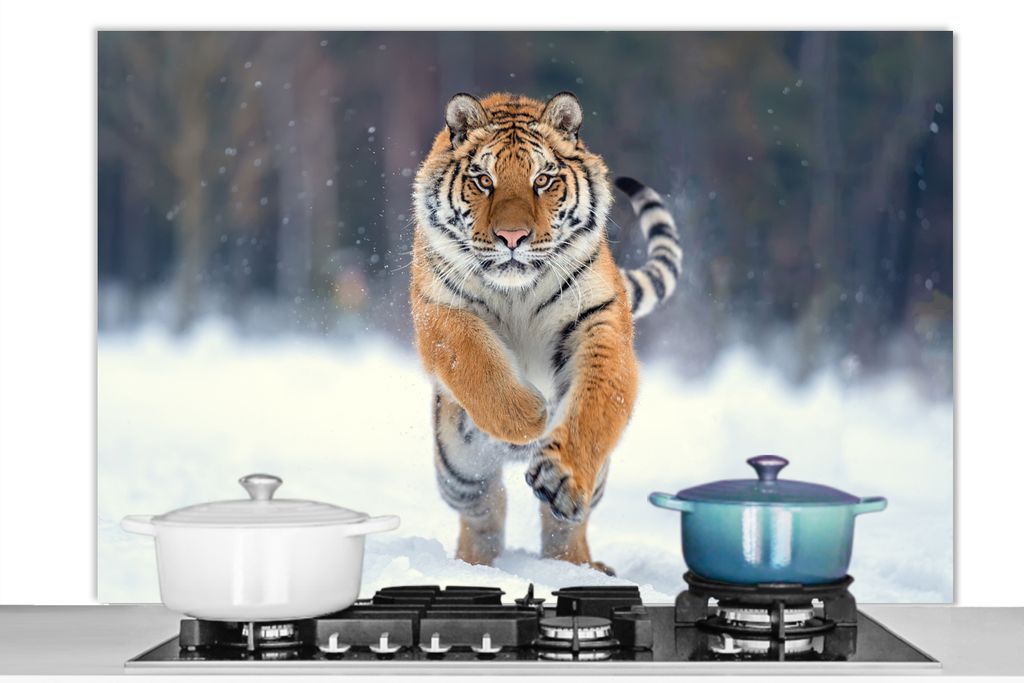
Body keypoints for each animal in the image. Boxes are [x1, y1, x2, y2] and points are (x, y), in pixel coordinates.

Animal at [410, 91, 682, 574]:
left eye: (543, 180)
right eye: (483, 180)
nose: (512, 237)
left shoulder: (598, 321)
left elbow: (596, 403)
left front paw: (561, 474)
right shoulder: (440, 310)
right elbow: (475, 362)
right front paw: (529, 415)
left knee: (563, 524)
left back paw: (578, 567)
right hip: (458, 468)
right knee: (484, 509)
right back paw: (474, 566)